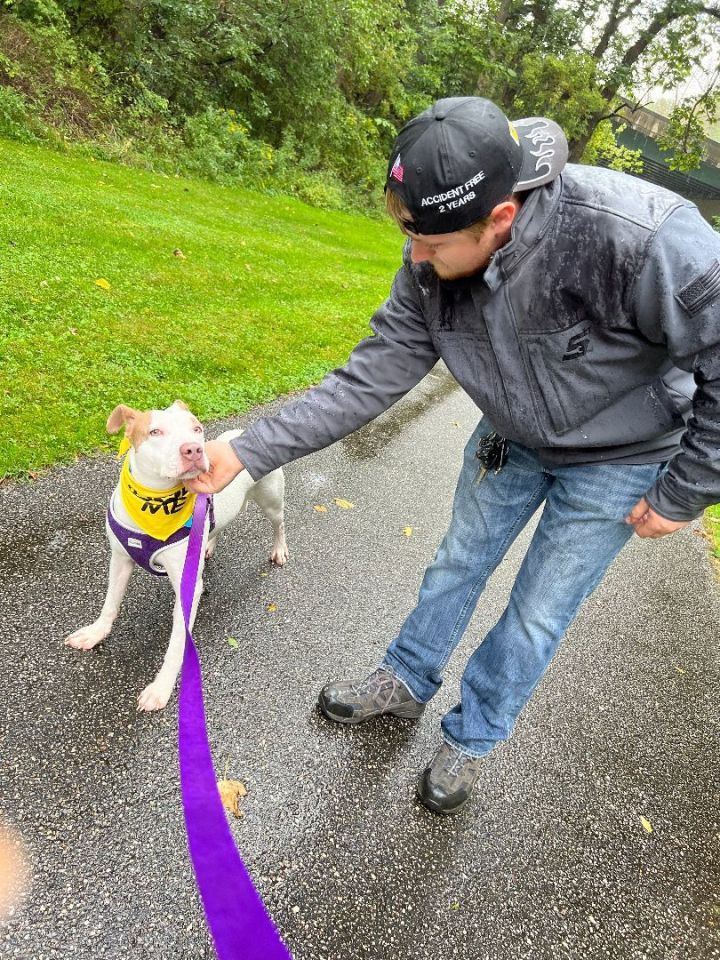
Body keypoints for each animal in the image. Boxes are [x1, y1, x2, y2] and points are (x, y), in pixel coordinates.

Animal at [62, 402, 286, 708]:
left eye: (197, 428)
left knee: (279, 524)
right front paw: (95, 632)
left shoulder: (185, 585)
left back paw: (279, 549)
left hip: (271, 500)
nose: (194, 449)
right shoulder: (119, 559)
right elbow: (110, 602)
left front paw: (161, 687)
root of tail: (240, 432)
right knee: (216, 527)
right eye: (155, 431)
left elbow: (177, 643)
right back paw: (208, 546)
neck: (155, 502)